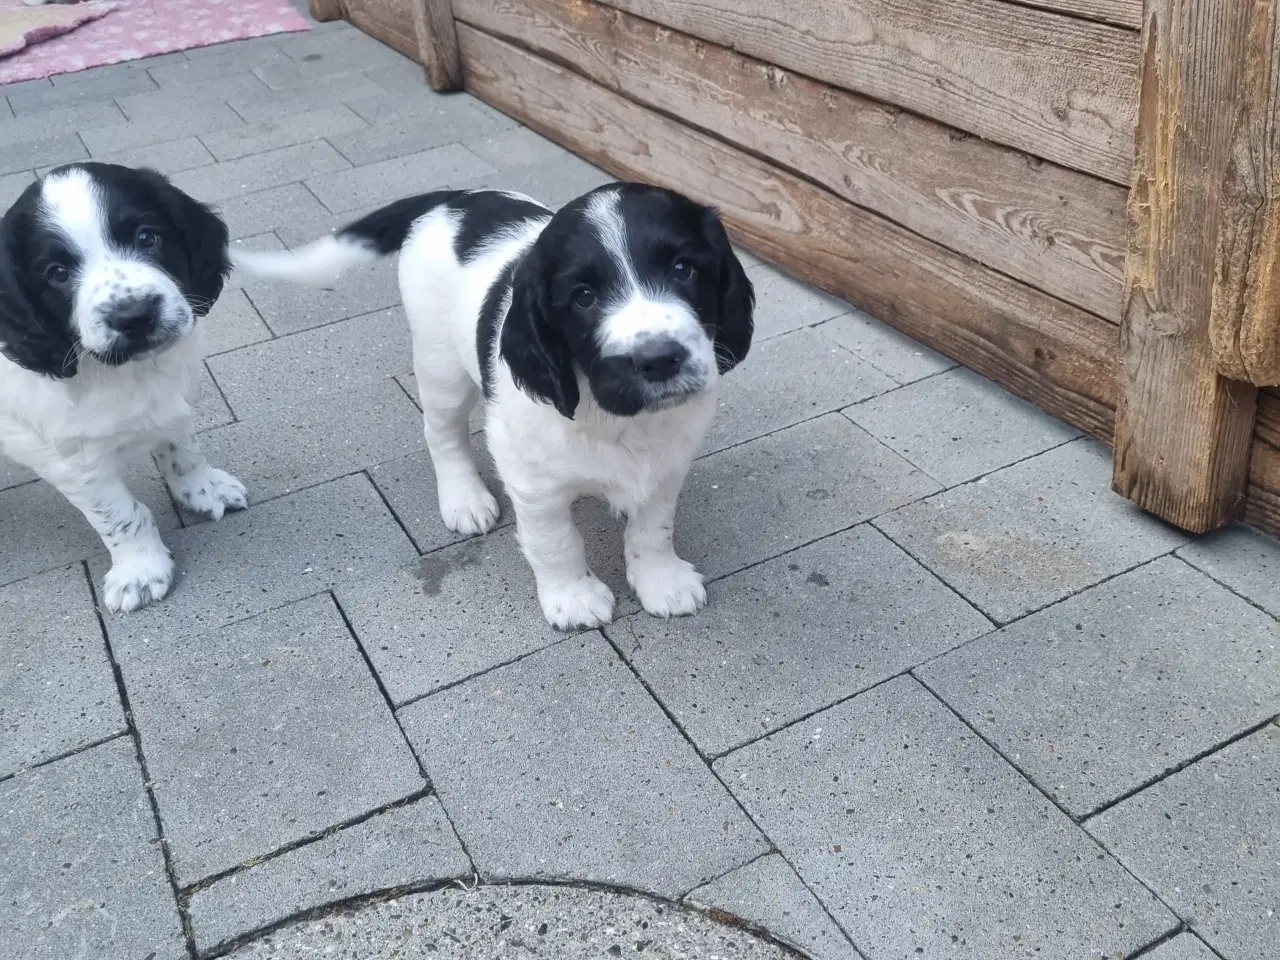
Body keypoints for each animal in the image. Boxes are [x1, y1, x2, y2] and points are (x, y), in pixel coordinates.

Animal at [0, 162, 247, 611]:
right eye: (57, 274)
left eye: (147, 237)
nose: (135, 316)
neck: (126, 373)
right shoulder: (69, 460)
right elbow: (120, 515)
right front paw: (141, 571)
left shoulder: (175, 398)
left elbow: (183, 451)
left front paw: (203, 490)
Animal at [232, 181, 747, 632]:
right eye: (583, 297)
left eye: (683, 269)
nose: (658, 359)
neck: (620, 422)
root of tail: (451, 198)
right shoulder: (532, 480)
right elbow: (554, 542)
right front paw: (573, 598)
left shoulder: (669, 462)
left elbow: (654, 526)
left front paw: (662, 580)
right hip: (441, 365)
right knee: (442, 433)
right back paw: (464, 498)